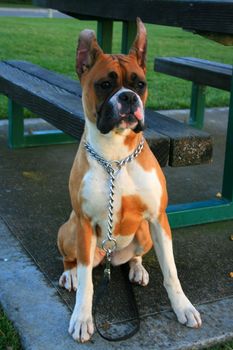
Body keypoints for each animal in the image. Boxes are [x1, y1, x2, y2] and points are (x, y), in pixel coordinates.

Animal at [57, 18, 201, 342]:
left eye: (140, 84)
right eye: (105, 84)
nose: (128, 97)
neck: (115, 159)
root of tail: (110, 258)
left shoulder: (159, 219)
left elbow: (171, 271)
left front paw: (183, 306)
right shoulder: (84, 224)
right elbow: (88, 283)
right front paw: (82, 317)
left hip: (144, 233)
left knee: (134, 256)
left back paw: (136, 269)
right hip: (69, 231)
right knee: (75, 263)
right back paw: (70, 274)